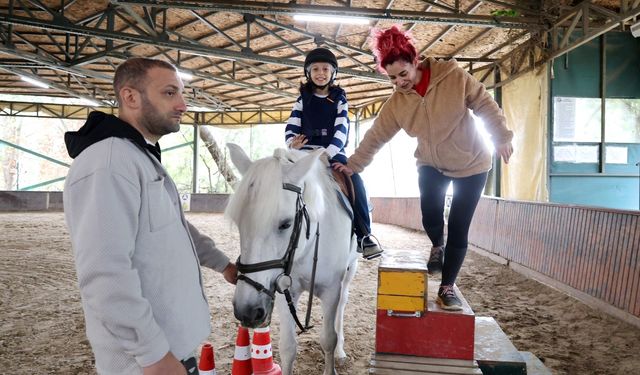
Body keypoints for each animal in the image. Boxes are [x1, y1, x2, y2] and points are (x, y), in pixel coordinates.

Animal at [225, 144, 358, 375]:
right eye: (239, 223)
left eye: (285, 224)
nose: (246, 311)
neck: (308, 246)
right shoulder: (283, 289)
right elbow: (288, 347)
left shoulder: (332, 289)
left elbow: (328, 339)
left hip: (350, 271)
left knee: (342, 305)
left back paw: (341, 351)